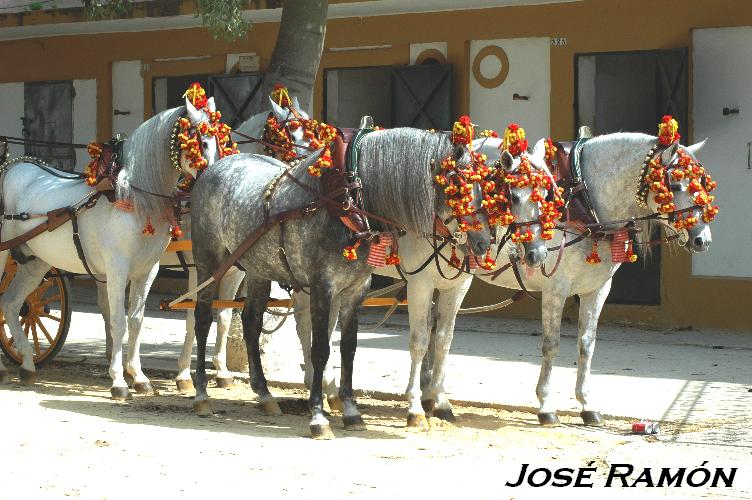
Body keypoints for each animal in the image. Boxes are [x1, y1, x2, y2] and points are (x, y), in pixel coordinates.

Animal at [2, 95, 220, 396]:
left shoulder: (146, 271)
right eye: (200, 140)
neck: (131, 196)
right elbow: (117, 321)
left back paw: (27, 364)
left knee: (12, 304)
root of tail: (13, 166)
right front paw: (118, 380)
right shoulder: (117, 269)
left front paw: (138, 376)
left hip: (36, 262)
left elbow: (136, 321)